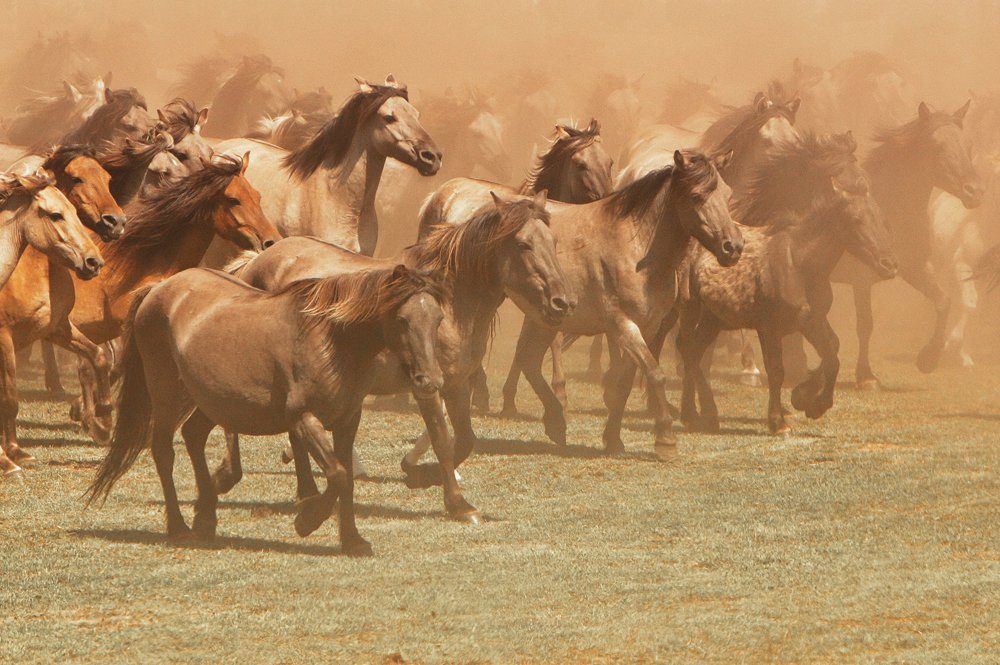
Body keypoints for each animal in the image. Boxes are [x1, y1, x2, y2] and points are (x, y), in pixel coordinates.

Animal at [90, 264, 450, 556]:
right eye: (402, 319)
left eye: (437, 319)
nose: (430, 380)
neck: (330, 340)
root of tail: (160, 288)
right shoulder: (303, 419)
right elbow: (337, 475)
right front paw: (307, 519)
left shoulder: (348, 421)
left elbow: (346, 480)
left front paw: (352, 541)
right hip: (167, 394)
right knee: (164, 451)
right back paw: (179, 527)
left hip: (211, 398)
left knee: (193, 436)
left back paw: (206, 517)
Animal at [418, 150, 740, 460]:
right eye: (696, 196)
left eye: (727, 193)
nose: (733, 247)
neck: (636, 248)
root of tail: (442, 193)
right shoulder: (622, 325)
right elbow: (655, 374)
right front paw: (665, 441)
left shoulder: (647, 327)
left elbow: (626, 382)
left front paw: (613, 439)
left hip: (545, 315)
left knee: (529, 360)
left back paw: (555, 421)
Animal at [672, 134, 900, 436]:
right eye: (856, 220)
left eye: (878, 215)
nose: (890, 264)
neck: (800, 262)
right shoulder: (769, 326)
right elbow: (777, 370)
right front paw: (779, 421)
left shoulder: (811, 320)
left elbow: (833, 354)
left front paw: (808, 401)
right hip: (692, 311)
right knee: (688, 351)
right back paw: (695, 413)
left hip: (714, 319)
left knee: (695, 353)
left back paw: (704, 415)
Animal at [828, 102, 984, 386]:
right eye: (938, 146)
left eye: (968, 144)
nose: (975, 191)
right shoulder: (862, 279)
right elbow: (865, 324)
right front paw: (866, 376)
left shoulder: (914, 268)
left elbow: (943, 301)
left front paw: (928, 358)